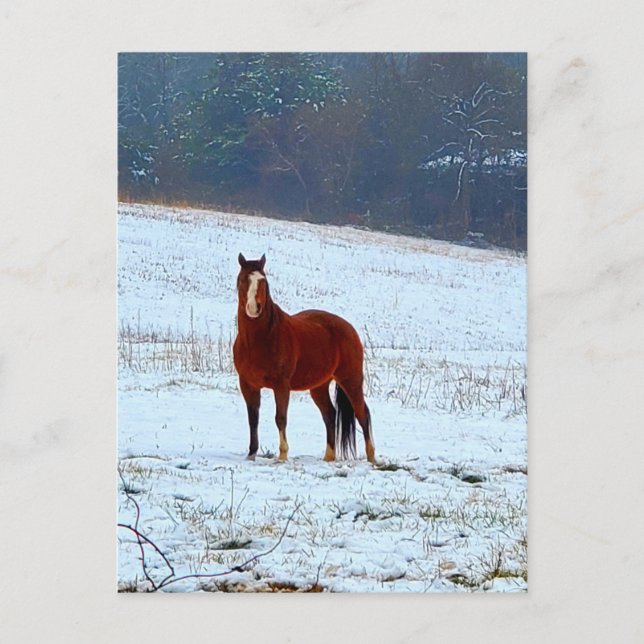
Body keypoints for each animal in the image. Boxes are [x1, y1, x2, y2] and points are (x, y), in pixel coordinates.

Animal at [233, 253, 376, 464]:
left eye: (263, 281)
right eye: (243, 279)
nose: (253, 307)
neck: (260, 340)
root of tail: (349, 328)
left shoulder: (281, 385)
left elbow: (280, 418)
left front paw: (282, 455)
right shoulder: (248, 384)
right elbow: (253, 419)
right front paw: (251, 454)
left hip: (351, 380)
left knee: (362, 414)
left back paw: (372, 458)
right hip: (319, 387)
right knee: (330, 415)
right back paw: (329, 457)